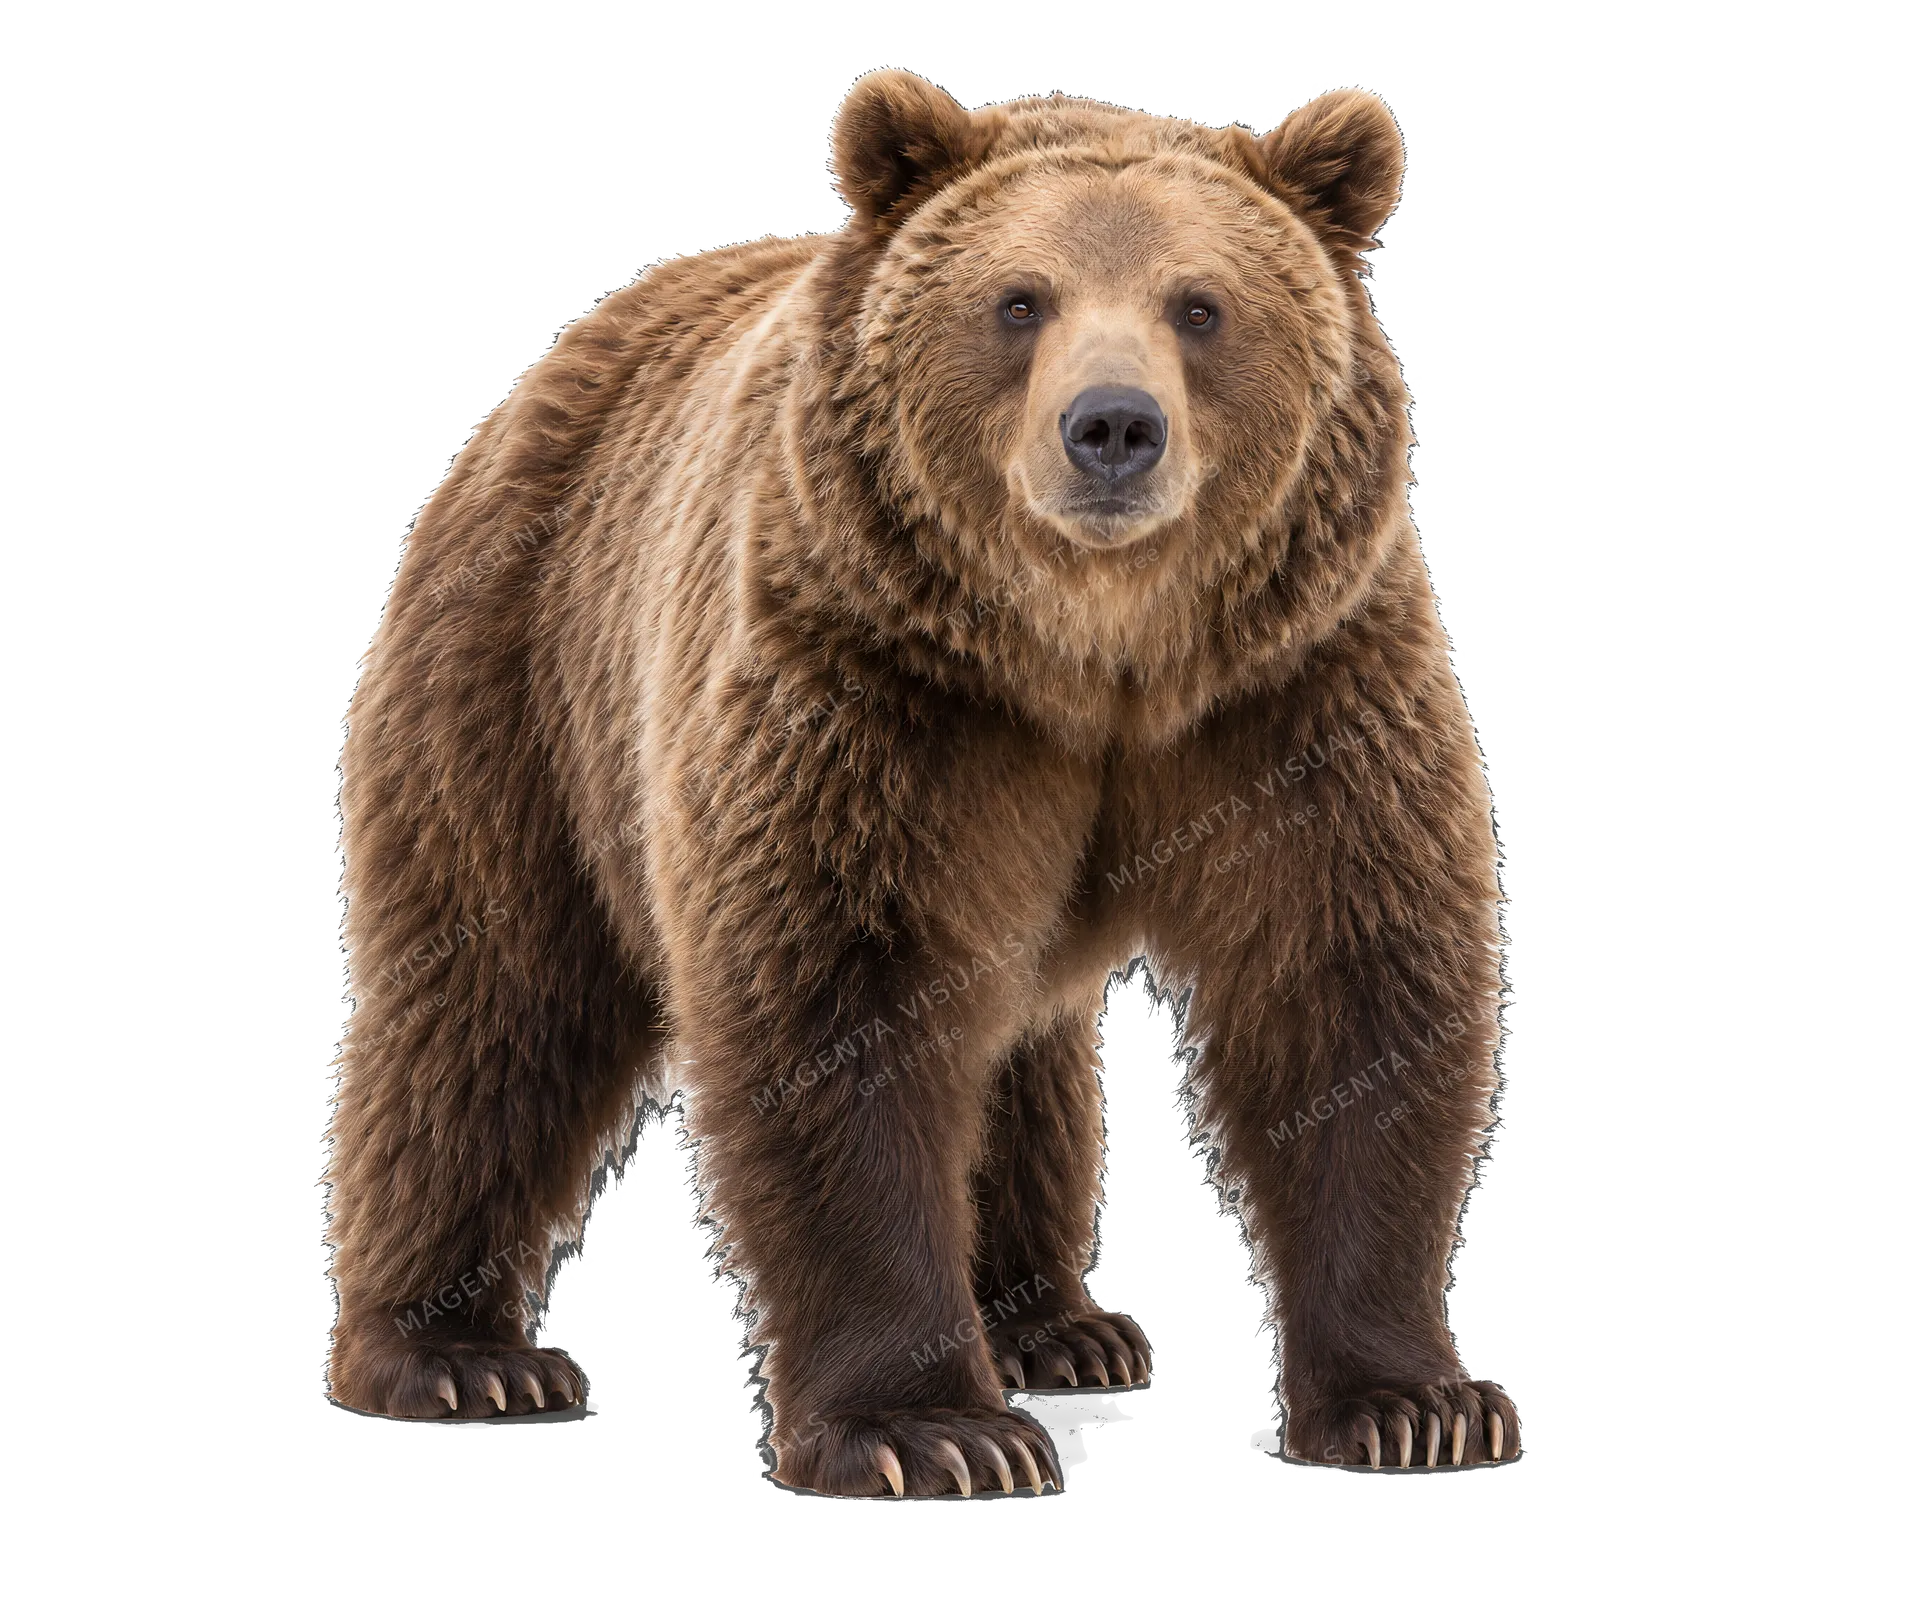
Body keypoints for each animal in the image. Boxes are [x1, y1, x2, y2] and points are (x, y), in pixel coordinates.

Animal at [326, 67, 1520, 1492]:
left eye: (1200, 305)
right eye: (1018, 300)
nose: (1111, 428)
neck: (1091, 656)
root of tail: (552, 363)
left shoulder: (1295, 690)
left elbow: (1352, 990)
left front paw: (1416, 1400)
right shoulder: (872, 689)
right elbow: (846, 1005)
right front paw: (930, 1430)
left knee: (1018, 1057)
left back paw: (1055, 1326)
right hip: (522, 675)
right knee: (490, 1000)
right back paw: (455, 1354)